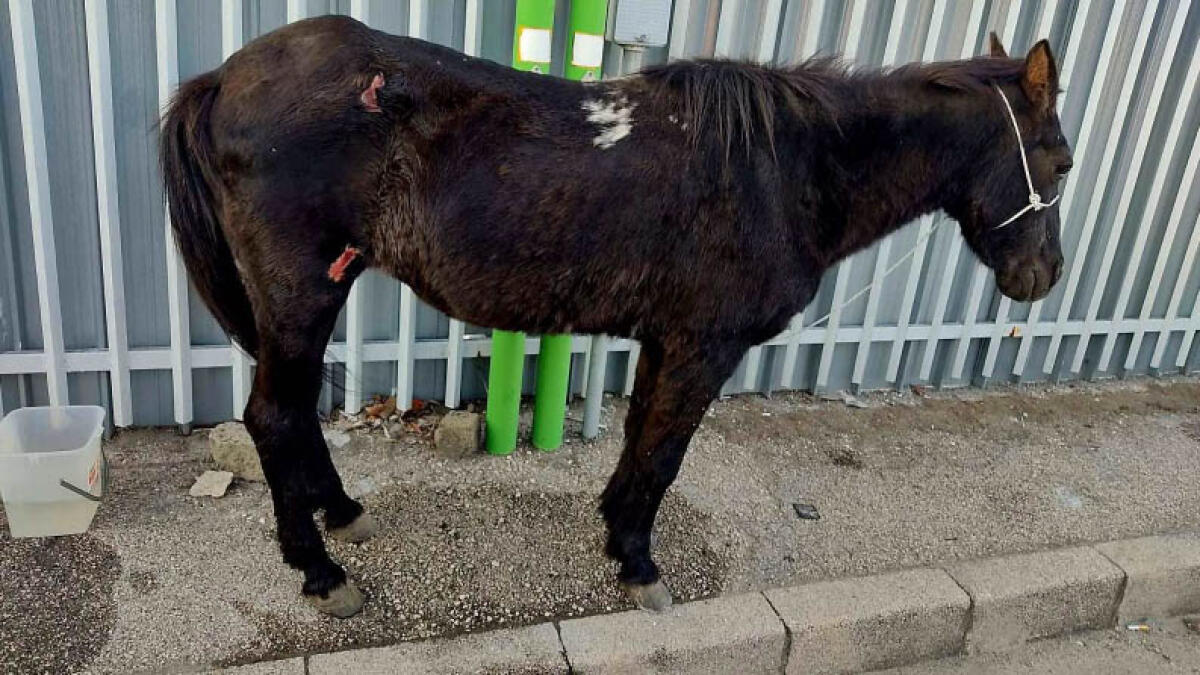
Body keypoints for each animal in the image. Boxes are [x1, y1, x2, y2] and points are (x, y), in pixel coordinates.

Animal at [160, 17, 1069, 617]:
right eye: (1058, 159)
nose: (1046, 275)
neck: (787, 167)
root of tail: (225, 78)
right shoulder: (704, 345)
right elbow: (664, 455)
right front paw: (637, 561)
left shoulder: (667, 341)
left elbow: (640, 443)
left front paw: (615, 531)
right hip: (303, 292)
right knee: (273, 416)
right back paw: (318, 569)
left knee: (293, 413)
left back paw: (343, 512)